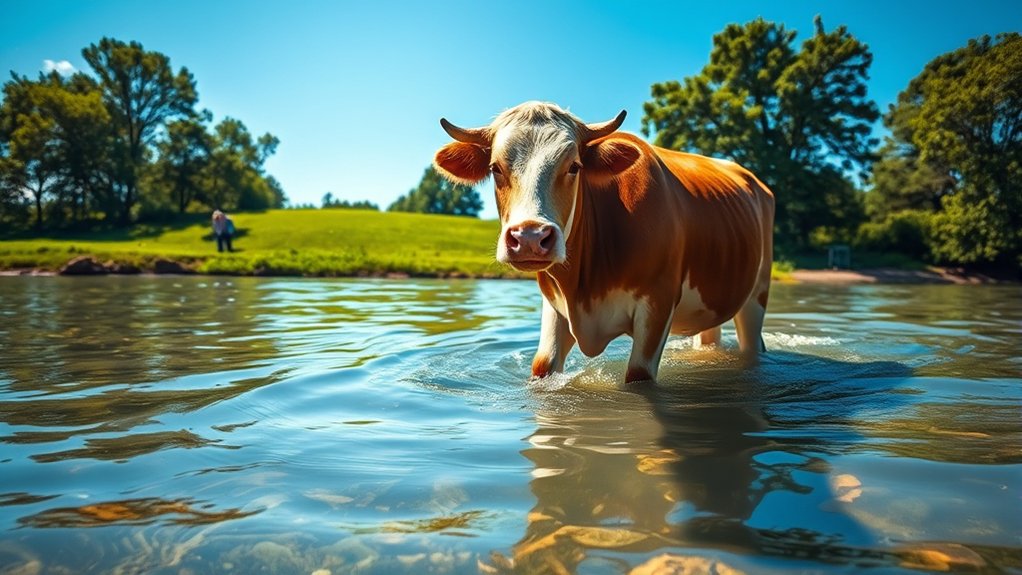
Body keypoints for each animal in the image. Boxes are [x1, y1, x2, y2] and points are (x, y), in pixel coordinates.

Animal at [433, 101, 774, 383]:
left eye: (574, 166)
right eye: (495, 168)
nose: (529, 237)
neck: (585, 284)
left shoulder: (658, 302)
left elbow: (638, 376)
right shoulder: (555, 305)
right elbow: (542, 365)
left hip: (757, 295)